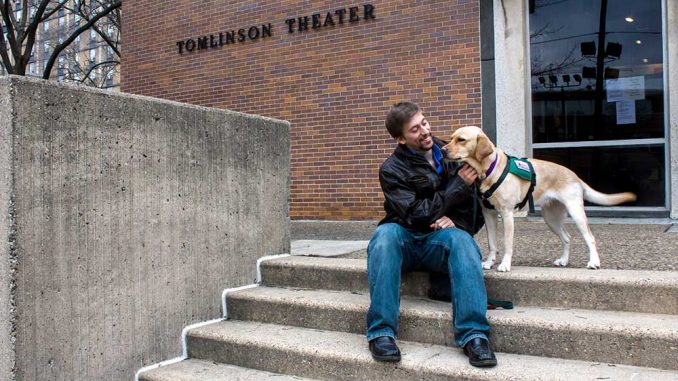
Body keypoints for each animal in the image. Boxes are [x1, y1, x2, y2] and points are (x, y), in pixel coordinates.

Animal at [446, 126, 636, 272]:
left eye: (461, 140)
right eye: (451, 138)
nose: (443, 149)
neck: (489, 169)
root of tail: (574, 175)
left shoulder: (507, 214)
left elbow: (507, 244)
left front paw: (505, 264)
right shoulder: (489, 214)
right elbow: (492, 244)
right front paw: (488, 262)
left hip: (576, 212)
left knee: (590, 237)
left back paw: (594, 262)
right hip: (551, 218)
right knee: (567, 237)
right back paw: (563, 260)